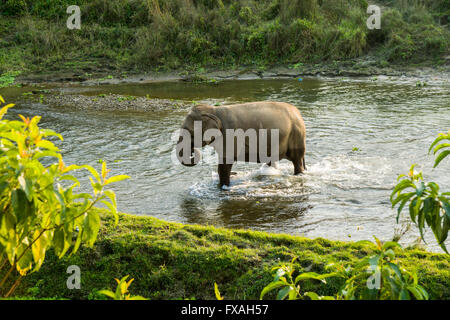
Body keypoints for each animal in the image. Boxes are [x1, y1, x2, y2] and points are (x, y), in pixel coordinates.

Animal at [176, 102, 306, 188]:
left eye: (189, 131)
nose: (192, 150)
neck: (213, 110)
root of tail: (298, 113)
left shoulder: (229, 135)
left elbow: (224, 164)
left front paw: (223, 188)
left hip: (296, 135)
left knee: (297, 160)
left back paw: (298, 175)